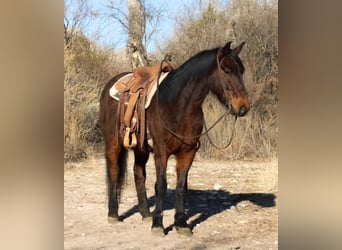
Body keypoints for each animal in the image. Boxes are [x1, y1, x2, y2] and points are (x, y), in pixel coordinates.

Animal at [99, 40, 251, 234]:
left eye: (242, 70)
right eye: (226, 70)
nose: (243, 107)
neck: (177, 104)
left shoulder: (188, 152)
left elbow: (180, 186)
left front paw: (181, 223)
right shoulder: (161, 152)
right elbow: (161, 185)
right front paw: (158, 224)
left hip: (141, 149)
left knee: (138, 174)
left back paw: (145, 213)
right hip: (113, 144)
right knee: (114, 172)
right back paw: (113, 214)